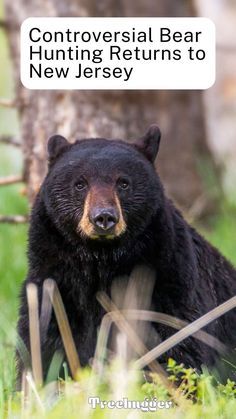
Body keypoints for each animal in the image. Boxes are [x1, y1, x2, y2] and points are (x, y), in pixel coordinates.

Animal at [17, 124, 236, 380]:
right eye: (80, 184)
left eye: (123, 183)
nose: (104, 217)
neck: (101, 261)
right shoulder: (55, 280)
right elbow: (43, 337)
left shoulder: (169, 277)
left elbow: (179, 336)